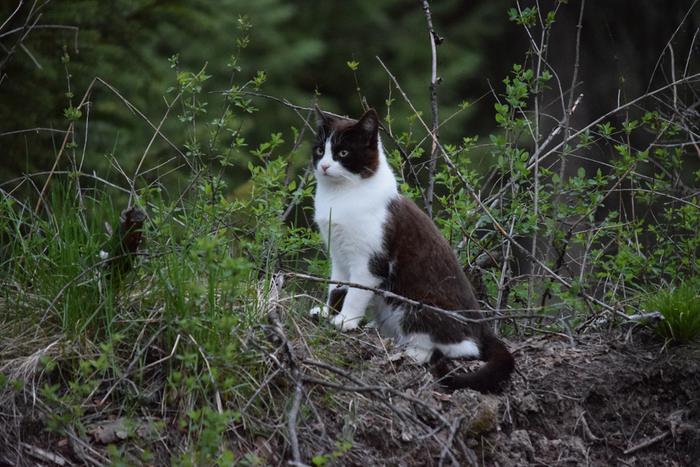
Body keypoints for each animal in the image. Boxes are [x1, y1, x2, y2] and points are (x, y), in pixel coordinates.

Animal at [310, 108, 516, 394]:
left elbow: (355, 292)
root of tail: (483, 329)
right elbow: (336, 287)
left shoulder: (370, 261)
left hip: (417, 305)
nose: (325, 166)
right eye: (320, 150)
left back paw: (414, 352)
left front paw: (346, 321)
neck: (341, 196)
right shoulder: (338, 254)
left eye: (343, 153)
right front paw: (328, 313)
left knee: (462, 348)